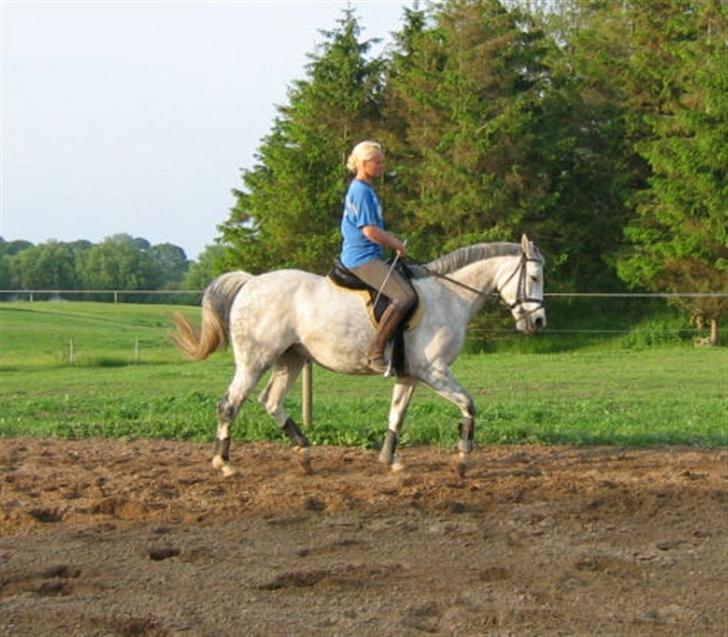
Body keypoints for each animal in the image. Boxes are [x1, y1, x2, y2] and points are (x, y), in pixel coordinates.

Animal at [173, 234, 544, 476]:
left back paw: (304, 454)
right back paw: (224, 463)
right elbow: (468, 405)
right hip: (255, 360)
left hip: (292, 358)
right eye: (535, 276)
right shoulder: (434, 371)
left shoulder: (410, 375)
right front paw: (464, 459)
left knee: (271, 401)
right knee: (230, 404)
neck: (449, 295)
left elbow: (396, 415)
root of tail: (250, 283)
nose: (538, 322)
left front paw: (390, 460)